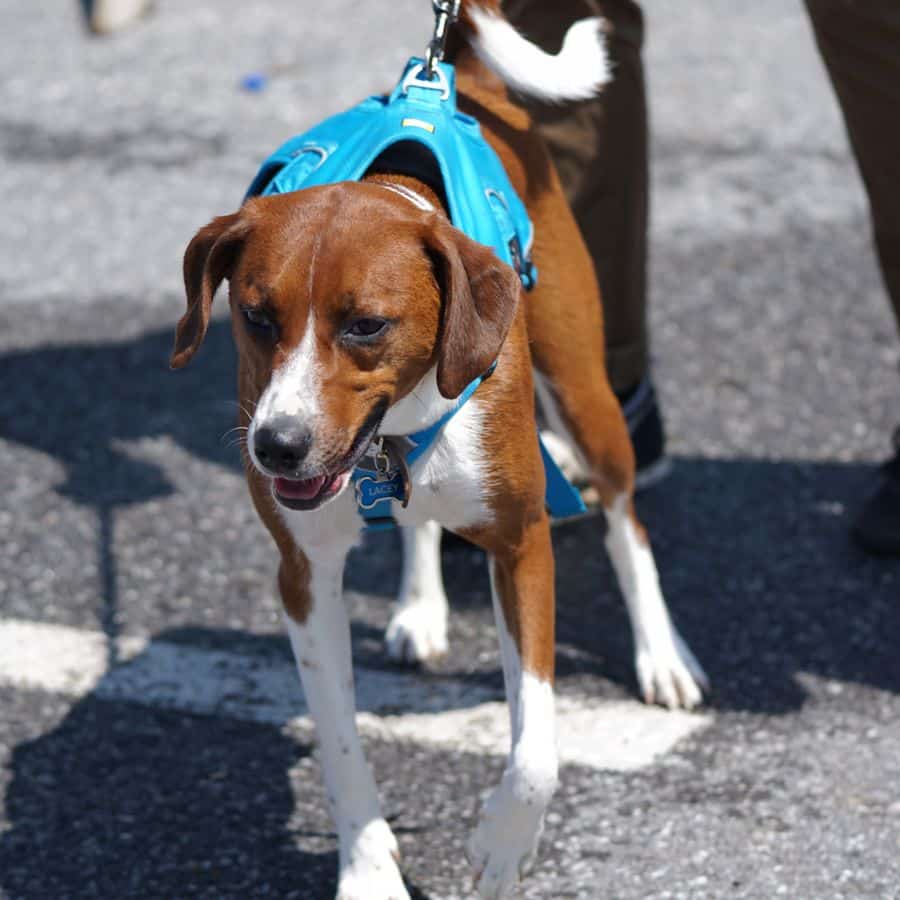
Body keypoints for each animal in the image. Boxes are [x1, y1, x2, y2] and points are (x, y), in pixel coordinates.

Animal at [172, 3, 708, 896]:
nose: (278, 447)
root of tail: (454, 74)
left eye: (366, 325)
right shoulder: (303, 574)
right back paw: (419, 605)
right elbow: (340, 744)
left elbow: (537, 749)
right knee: (421, 520)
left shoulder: (522, 540)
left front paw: (503, 845)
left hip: (587, 393)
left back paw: (662, 653)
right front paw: (366, 867)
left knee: (626, 520)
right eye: (254, 316)